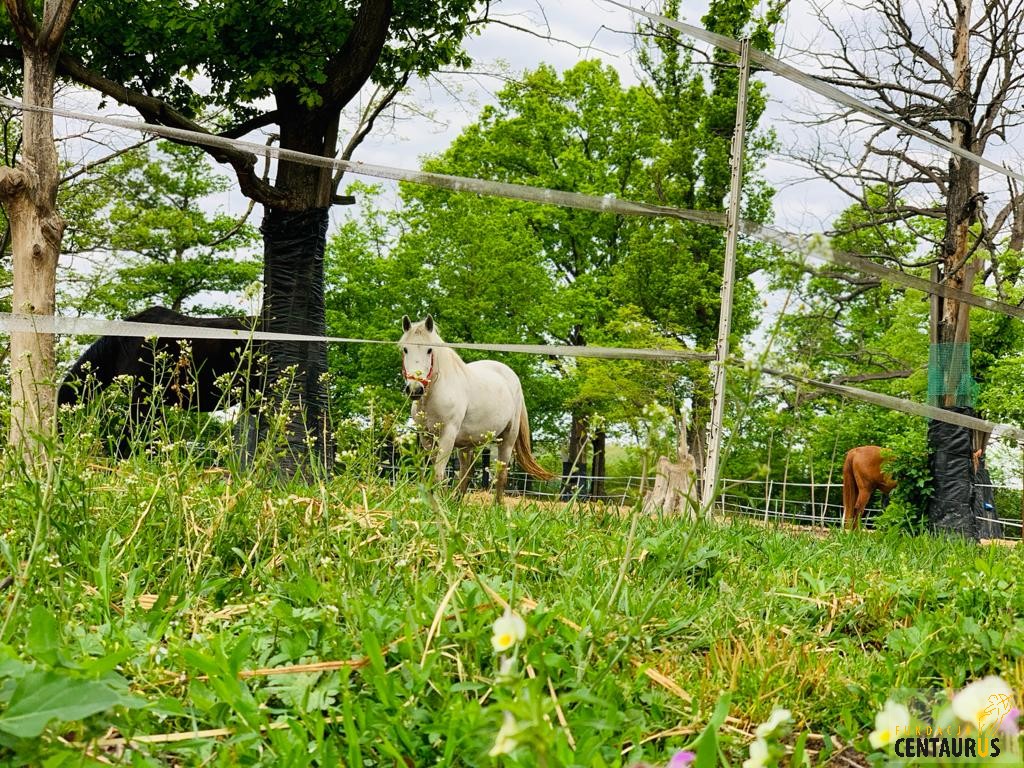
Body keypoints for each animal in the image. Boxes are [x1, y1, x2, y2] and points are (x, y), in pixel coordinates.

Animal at [397, 315, 552, 501]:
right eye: (405, 349)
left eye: (429, 350)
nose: (415, 389)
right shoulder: (426, 438)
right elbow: (433, 473)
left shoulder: (447, 436)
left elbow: (439, 474)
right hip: (465, 444)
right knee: (467, 472)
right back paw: (456, 502)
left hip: (507, 439)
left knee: (501, 475)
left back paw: (497, 505)